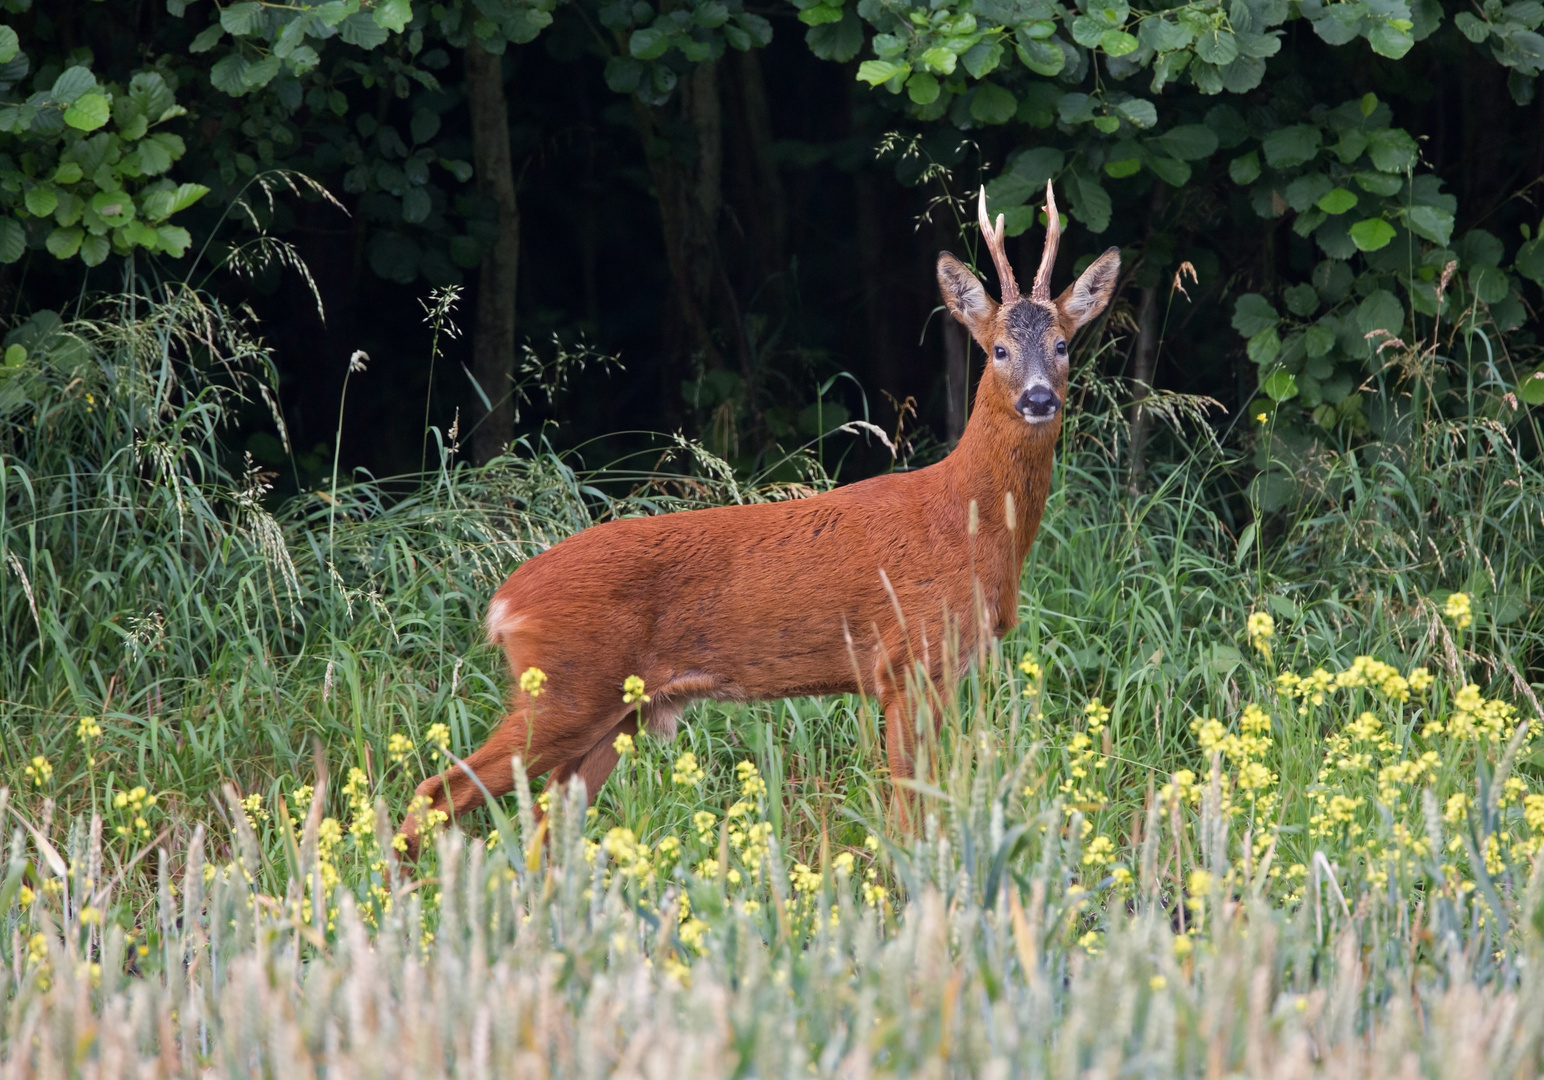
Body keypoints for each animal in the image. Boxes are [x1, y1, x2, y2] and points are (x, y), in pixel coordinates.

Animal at [401, 181, 1124, 852]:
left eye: (1063, 345)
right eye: (999, 349)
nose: (1038, 398)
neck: (966, 521)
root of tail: (503, 604)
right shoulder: (907, 660)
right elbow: (907, 812)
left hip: (612, 712)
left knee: (548, 827)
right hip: (563, 691)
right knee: (436, 791)